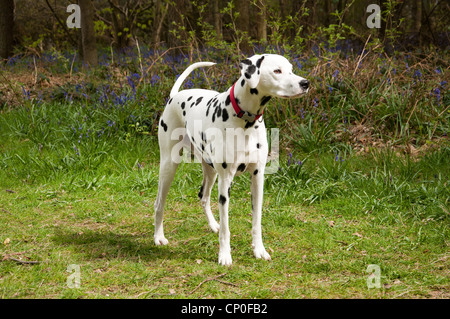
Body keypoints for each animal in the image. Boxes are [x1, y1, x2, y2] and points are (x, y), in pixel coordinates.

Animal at [153, 53, 308, 266]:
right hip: (169, 166)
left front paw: (259, 250)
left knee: (203, 196)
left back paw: (212, 224)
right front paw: (225, 255)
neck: (245, 120)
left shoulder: (257, 178)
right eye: (277, 70)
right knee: (159, 203)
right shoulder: (226, 182)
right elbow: (227, 227)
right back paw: (158, 236)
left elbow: (257, 221)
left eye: (291, 69)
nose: (305, 83)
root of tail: (174, 96)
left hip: (210, 170)